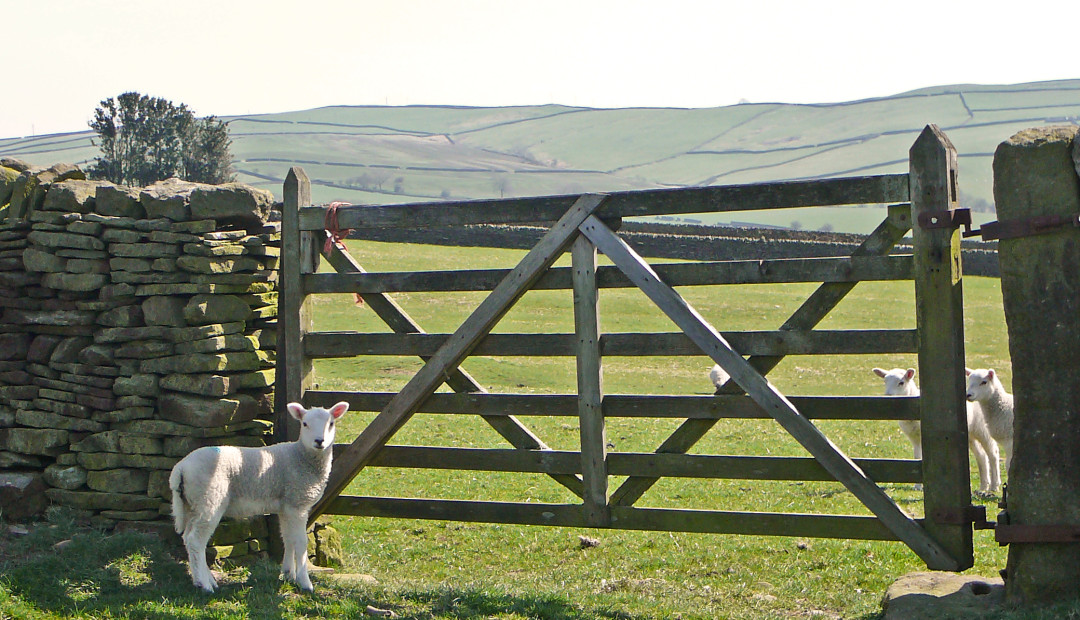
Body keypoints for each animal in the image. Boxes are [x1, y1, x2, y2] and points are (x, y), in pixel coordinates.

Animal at [168, 401, 347, 596]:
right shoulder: (297, 503)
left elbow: (288, 538)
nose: (319, 441)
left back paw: (204, 580)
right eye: (304, 424)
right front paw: (305, 583)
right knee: (196, 540)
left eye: (331, 423)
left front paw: (288, 575)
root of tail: (180, 468)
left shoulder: (286, 506)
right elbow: (300, 542)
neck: (300, 456)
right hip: (209, 499)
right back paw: (205, 585)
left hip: (192, 503)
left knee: (188, 538)